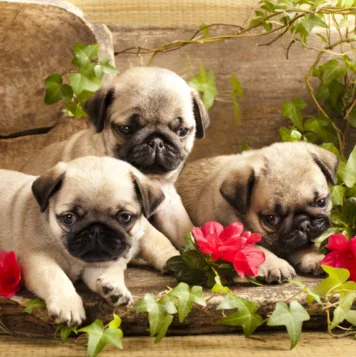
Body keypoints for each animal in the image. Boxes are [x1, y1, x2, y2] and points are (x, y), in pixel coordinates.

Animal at [0, 157, 177, 324]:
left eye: (125, 217)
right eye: (69, 218)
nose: (96, 229)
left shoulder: (98, 263)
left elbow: (106, 274)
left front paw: (113, 289)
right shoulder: (38, 258)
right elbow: (56, 277)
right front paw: (68, 305)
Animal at [20, 67, 209, 262]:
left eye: (182, 131)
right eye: (126, 129)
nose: (156, 141)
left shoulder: (169, 204)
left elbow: (185, 228)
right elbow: (157, 237)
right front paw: (173, 257)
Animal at [177, 140, 338, 282]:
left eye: (321, 202)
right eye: (271, 219)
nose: (303, 223)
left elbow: (306, 245)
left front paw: (317, 258)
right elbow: (257, 248)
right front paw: (275, 265)